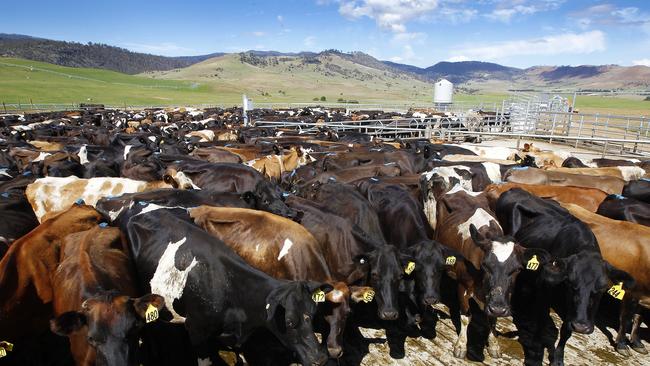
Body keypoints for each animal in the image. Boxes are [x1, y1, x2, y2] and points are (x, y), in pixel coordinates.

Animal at [494, 189, 632, 366]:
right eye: (571, 284)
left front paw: (558, 358)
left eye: (602, 288)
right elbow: (542, 320)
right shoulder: (544, 289)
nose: (582, 327)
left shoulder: (573, 311)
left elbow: (566, 330)